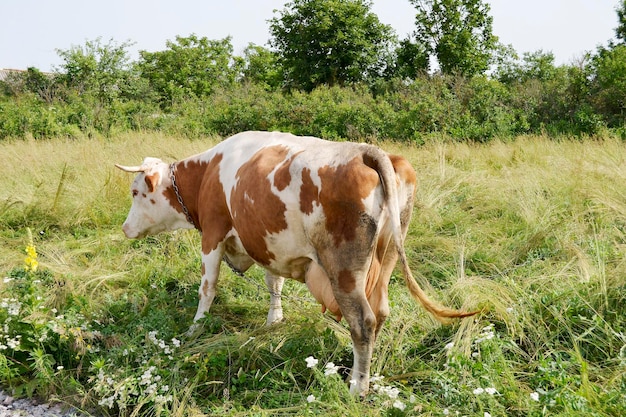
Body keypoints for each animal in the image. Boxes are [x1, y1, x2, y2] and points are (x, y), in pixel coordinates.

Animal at [114, 130, 476, 394]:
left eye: (135, 192)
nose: (124, 228)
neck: (207, 175)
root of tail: (366, 152)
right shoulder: (266, 243)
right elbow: (273, 282)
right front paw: (274, 320)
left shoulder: (213, 234)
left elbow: (208, 287)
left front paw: (196, 328)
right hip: (385, 258)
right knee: (381, 313)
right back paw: (363, 375)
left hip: (344, 269)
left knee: (363, 322)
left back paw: (357, 388)